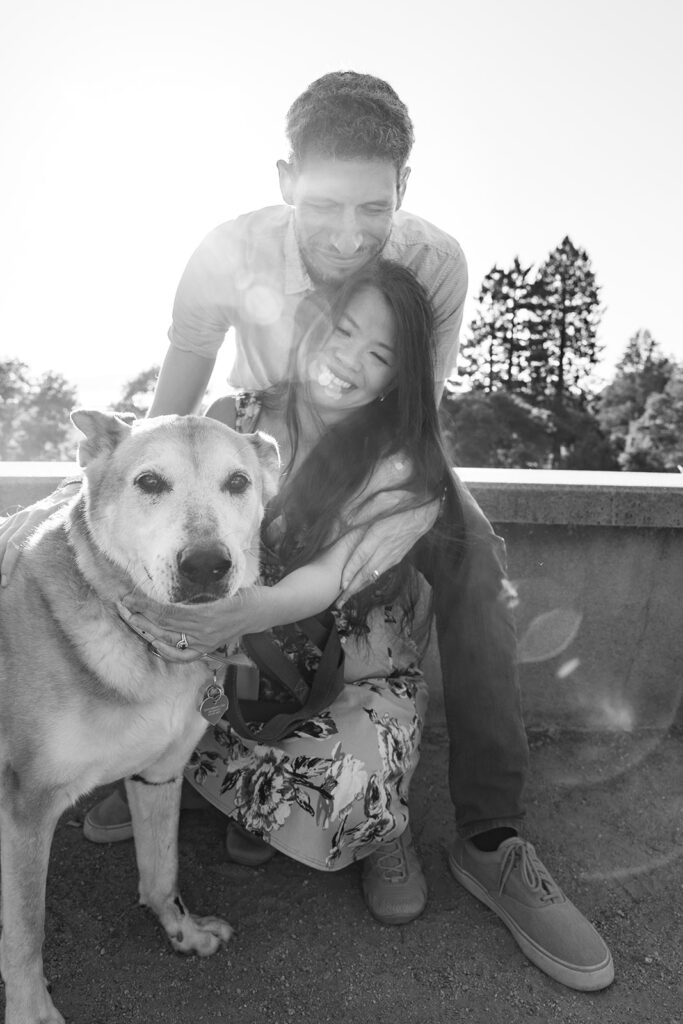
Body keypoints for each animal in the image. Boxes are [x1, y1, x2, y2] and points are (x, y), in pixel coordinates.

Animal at [0, 407, 280, 1024]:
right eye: (149, 482)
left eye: (238, 482)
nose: (206, 565)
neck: (150, 644)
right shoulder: (26, 807)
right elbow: (26, 930)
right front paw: (31, 1010)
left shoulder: (159, 772)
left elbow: (162, 869)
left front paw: (181, 930)